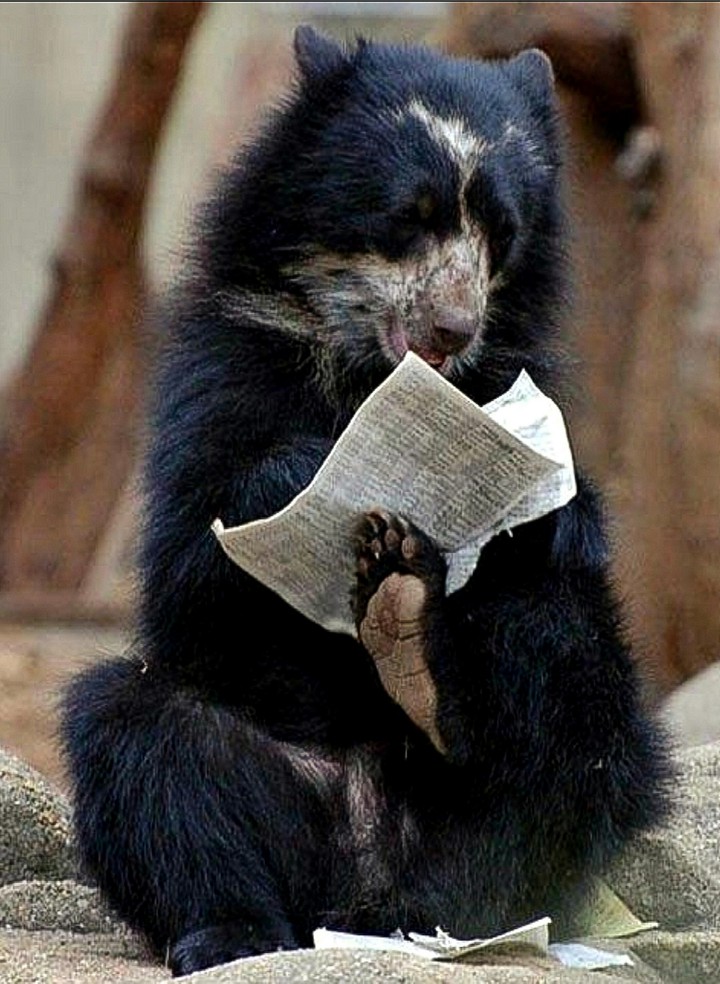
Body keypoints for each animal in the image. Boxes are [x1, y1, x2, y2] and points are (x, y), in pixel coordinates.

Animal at [61, 27, 670, 977]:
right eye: (408, 218)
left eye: (501, 233)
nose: (454, 329)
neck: (367, 371)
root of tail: (375, 893)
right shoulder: (218, 363)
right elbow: (188, 562)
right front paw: (311, 475)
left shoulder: (521, 368)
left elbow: (563, 532)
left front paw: (553, 508)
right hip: (263, 800)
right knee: (140, 736)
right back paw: (230, 930)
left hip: (528, 805)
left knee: (577, 689)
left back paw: (411, 644)